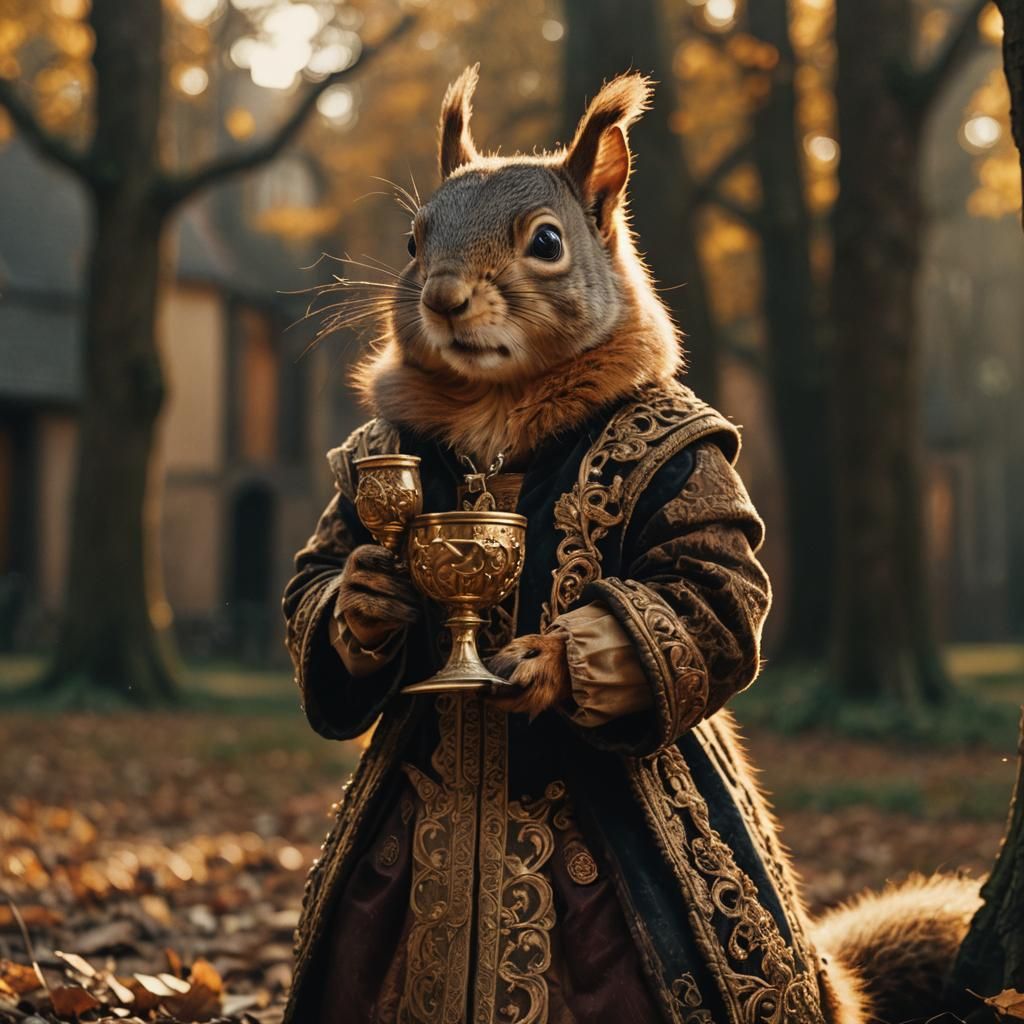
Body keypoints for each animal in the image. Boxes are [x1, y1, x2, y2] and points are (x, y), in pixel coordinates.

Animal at [315, 67, 982, 1024]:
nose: (441, 298)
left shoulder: (695, 466)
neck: (495, 417)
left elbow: (712, 593)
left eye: (546, 242)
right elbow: (320, 572)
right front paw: (363, 606)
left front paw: (555, 663)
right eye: (412, 238)